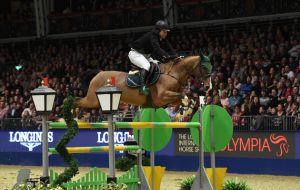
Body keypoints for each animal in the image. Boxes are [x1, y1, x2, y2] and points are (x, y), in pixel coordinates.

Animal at [75, 54, 211, 109]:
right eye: (204, 67)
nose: (208, 87)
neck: (173, 74)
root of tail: (99, 73)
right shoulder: (161, 97)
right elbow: (183, 95)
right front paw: (188, 103)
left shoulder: (170, 100)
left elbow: (185, 96)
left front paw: (189, 105)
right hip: (92, 100)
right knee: (77, 101)